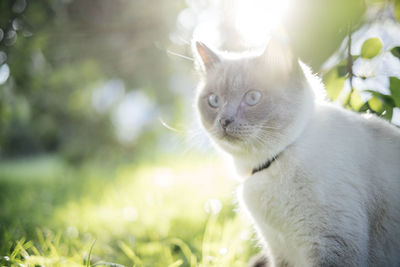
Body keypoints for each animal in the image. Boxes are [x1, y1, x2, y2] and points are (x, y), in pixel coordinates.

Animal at [192, 38, 400, 266]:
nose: (224, 121)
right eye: (214, 101)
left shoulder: (331, 244)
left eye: (253, 97)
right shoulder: (280, 252)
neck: (274, 160)